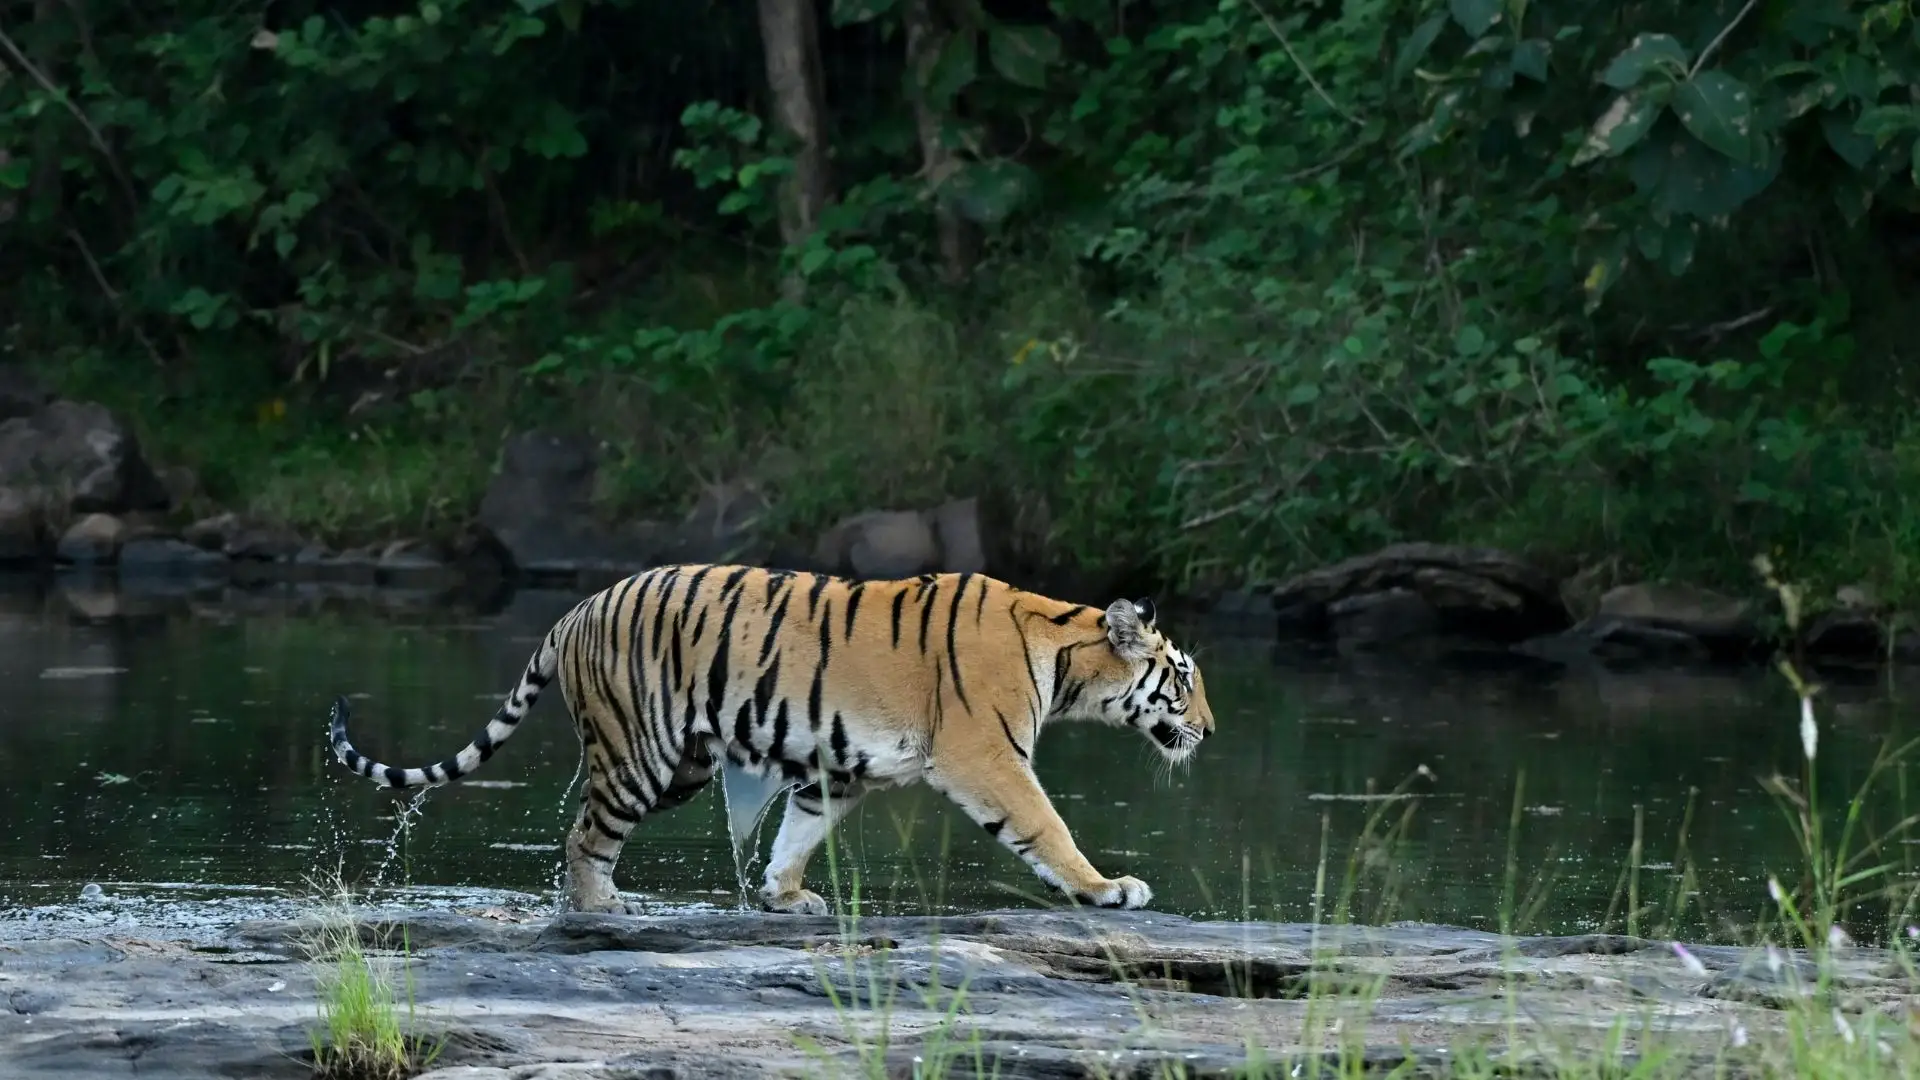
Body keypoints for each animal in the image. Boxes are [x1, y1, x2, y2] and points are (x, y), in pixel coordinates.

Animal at [327, 563, 1216, 916]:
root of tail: (574, 609)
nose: (1209, 730)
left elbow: (799, 831)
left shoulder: (838, 767)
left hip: (681, 764)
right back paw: (601, 907)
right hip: (640, 754)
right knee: (583, 836)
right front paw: (1108, 888)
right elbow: (1047, 826)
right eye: (1183, 677)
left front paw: (784, 895)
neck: (1065, 657)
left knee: (586, 829)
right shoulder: (987, 756)